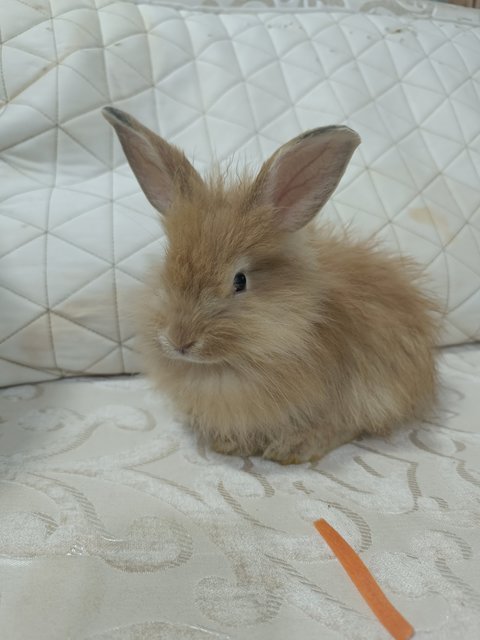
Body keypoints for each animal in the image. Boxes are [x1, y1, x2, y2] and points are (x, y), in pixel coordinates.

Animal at [103, 106, 438, 464]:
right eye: (168, 269)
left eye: (240, 281)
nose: (180, 342)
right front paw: (228, 443)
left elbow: (338, 425)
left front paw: (288, 445)